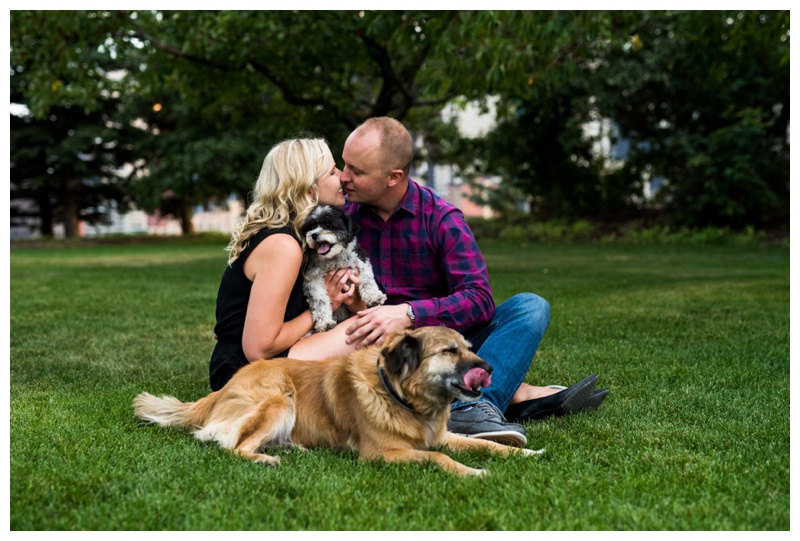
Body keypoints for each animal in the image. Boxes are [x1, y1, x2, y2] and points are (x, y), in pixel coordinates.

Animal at [134, 324, 544, 472]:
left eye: (469, 348)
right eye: (449, 351)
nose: (489, 367)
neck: (400, 396)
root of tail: (221, 389)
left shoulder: (441, 436)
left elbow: (488, 445)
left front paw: (529, 453)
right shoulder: (382, 454)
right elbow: (440, 458)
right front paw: (472, 472)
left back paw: (293, 448)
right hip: (280, 400)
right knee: (233, 446)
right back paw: (267, 458)